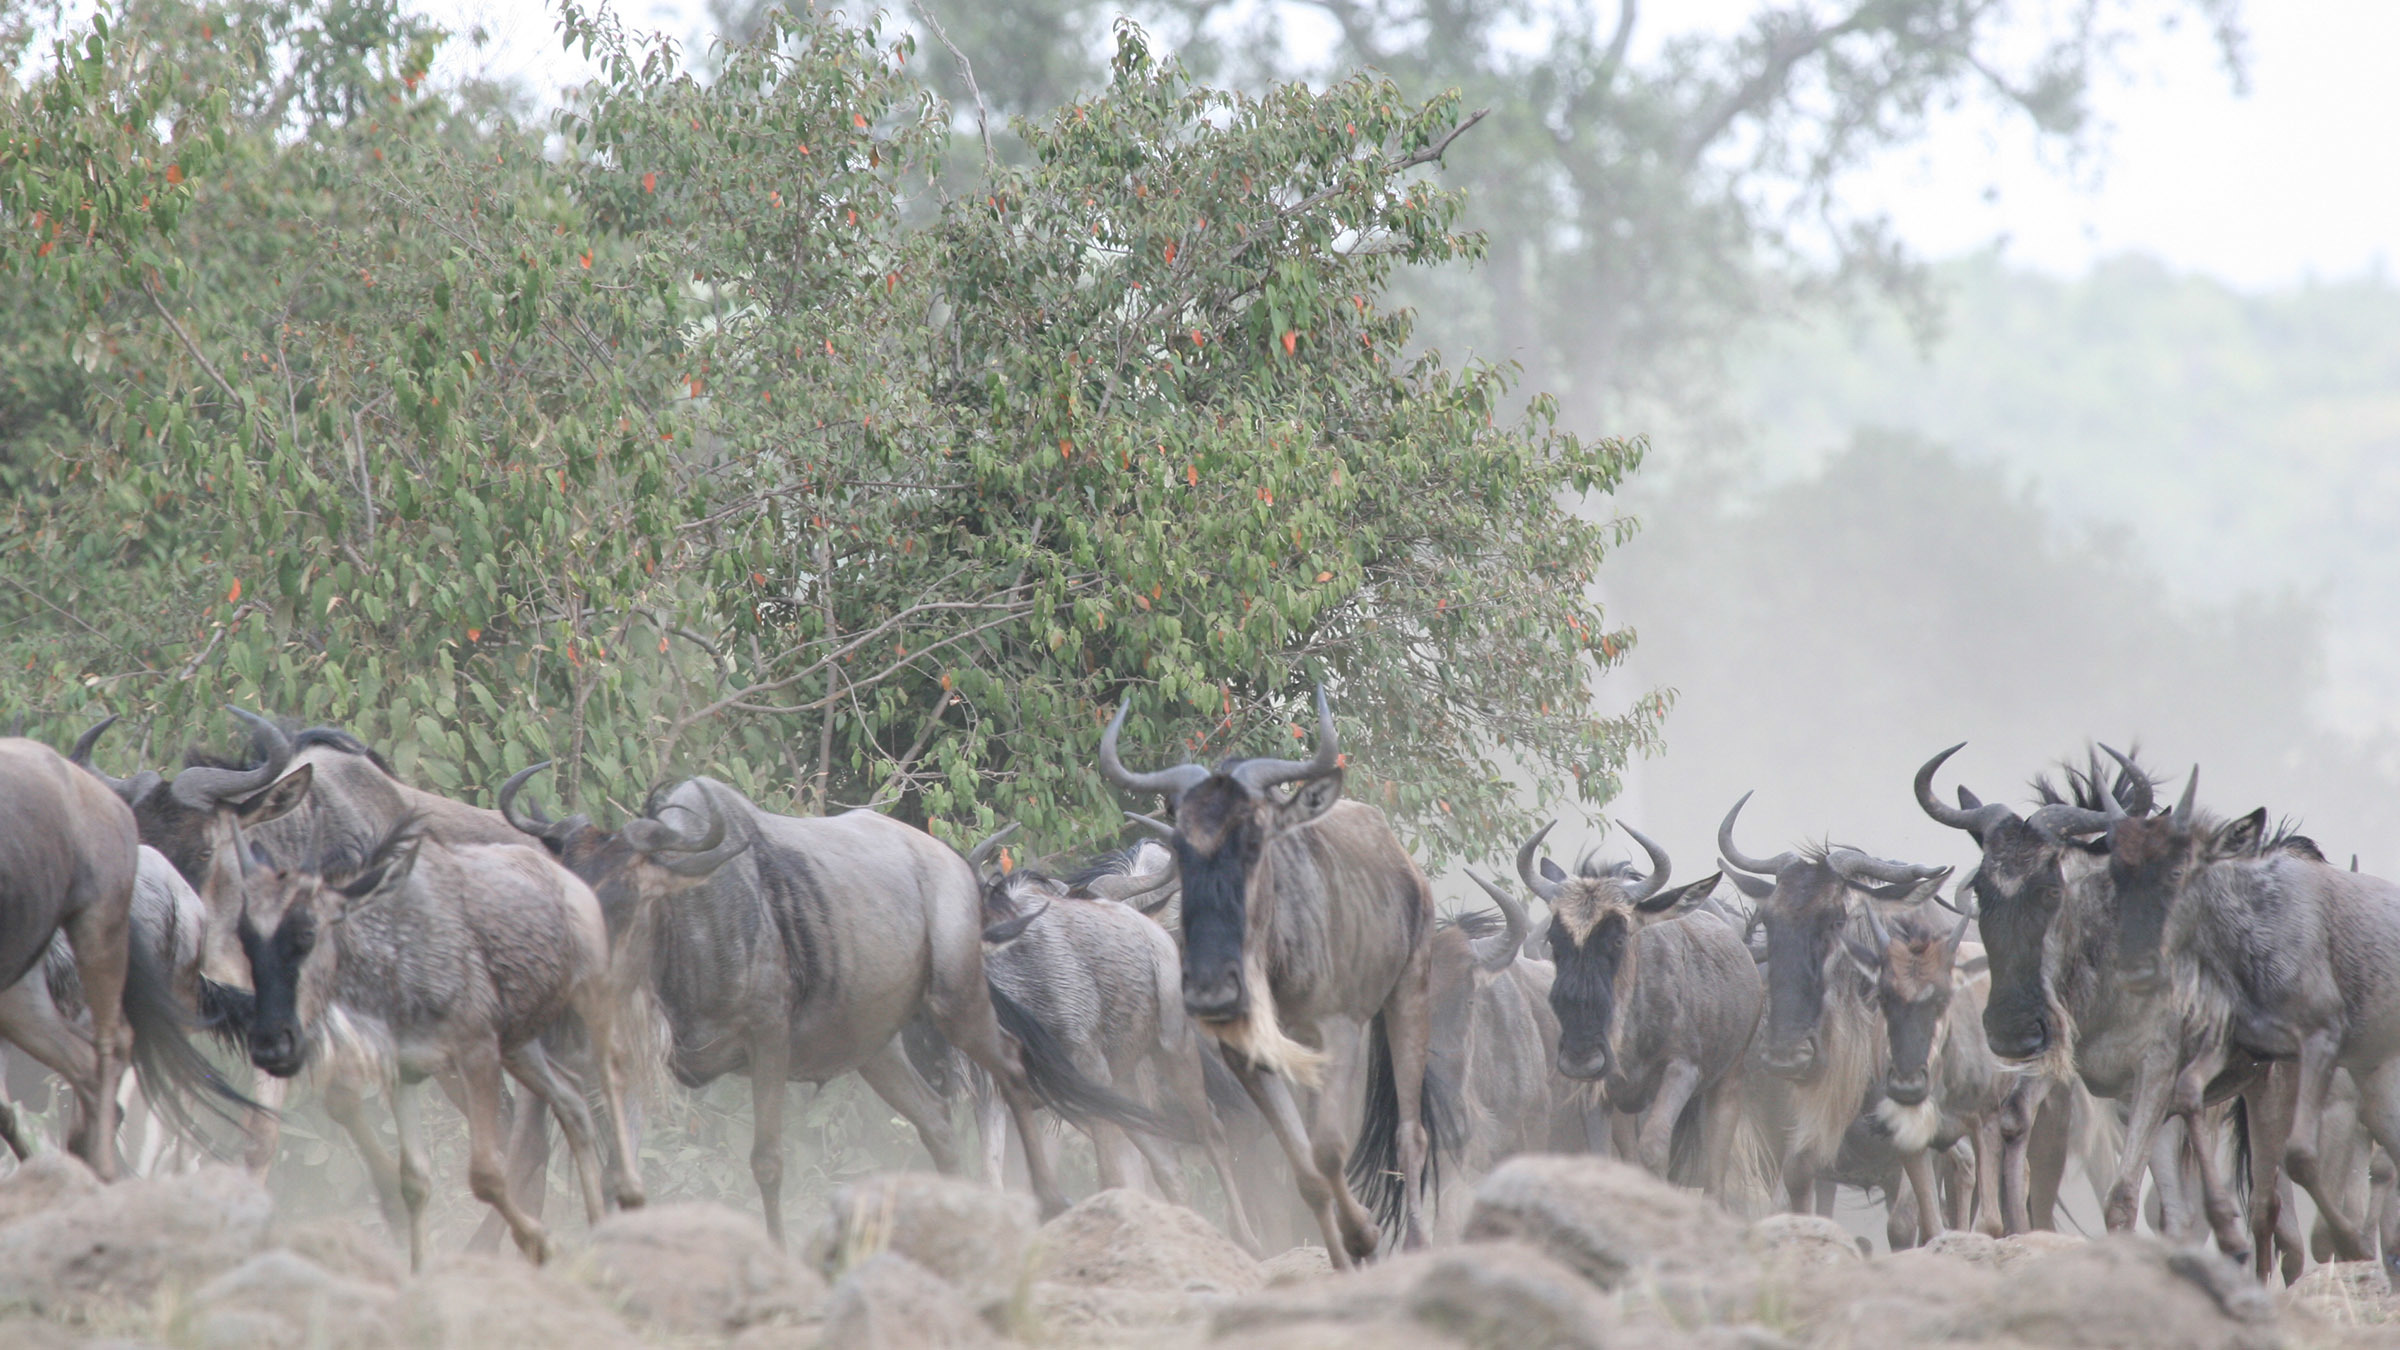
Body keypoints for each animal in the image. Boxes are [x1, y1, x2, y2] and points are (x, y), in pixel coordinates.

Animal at [1096, 687, 1440, 1267]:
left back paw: (1416, 1244)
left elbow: (1329, 1149)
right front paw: (1345, 1249)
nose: (1212, 989)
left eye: (1256, 839)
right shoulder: (1248, 1055)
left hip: (1408, 990)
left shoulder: (1340, 1031)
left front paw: (1364, 1235)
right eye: (1181, 848)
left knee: (1409, 1133)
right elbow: (1305, 1168)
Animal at [1512, 822, 1758, 1192]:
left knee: (1714, 1173)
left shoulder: (1681, 1071)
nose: (1581, 1055)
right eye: (1555, 940)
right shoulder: (1600, 1091)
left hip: (1728, 1081)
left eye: (1618, 938)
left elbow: (1655, 1148)